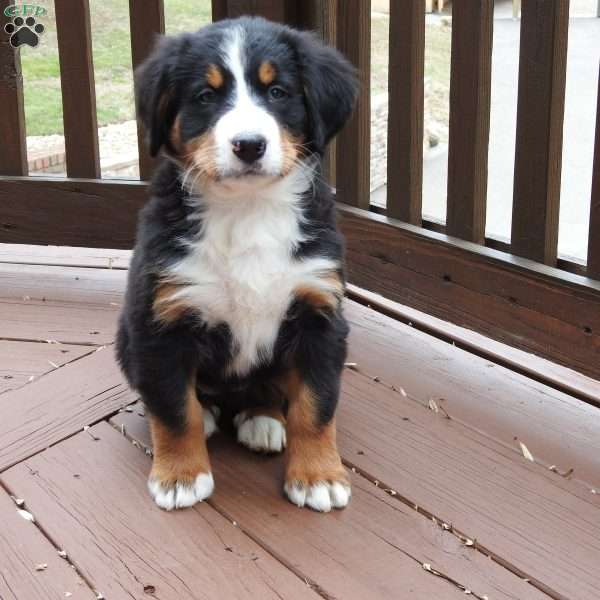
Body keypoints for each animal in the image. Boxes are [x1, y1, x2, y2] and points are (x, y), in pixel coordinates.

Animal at [118, 15, 356, 510]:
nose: (249, 145)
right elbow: (173, 408)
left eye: (278, 92)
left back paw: (262, 417)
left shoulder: (319, 313)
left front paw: (319, 476)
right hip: (126, 340)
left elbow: (316, 406)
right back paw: (211, 413)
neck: (248, 212)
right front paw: (180, 476)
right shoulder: (161, 323)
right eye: (205, 97)